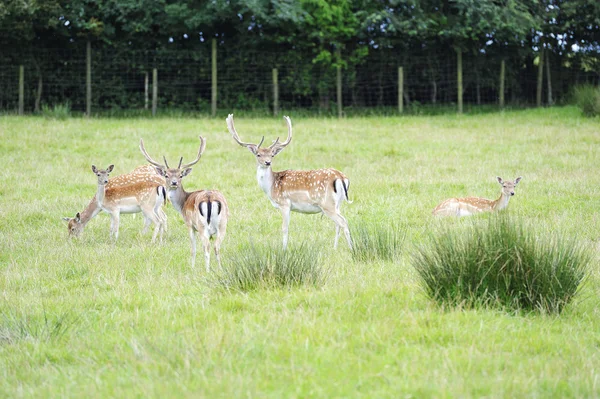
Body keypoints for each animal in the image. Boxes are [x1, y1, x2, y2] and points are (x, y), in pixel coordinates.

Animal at [139, 136, 229, 270]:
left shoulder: (189, 224)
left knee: (206, 246)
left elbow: (193, 248)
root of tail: (209, 198)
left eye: (181, 175)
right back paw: (220, 269)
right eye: (166, 175)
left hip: (202, 226)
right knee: (216, 246)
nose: (174, 182)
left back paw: (207, 270)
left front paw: (192, 267)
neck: (183, 203)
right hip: (223, 224)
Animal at [227, 113, 354, 250]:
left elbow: (284, 228)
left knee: (343, 222)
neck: (271, 187)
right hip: (338, 203)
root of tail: (341, 177)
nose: (267, 162)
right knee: (338, 224)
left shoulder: (284, 203)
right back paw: (335, 248)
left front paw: (283, 249)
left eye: (272, 155)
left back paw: (352, 249)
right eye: (258, 155)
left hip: (327, 203)